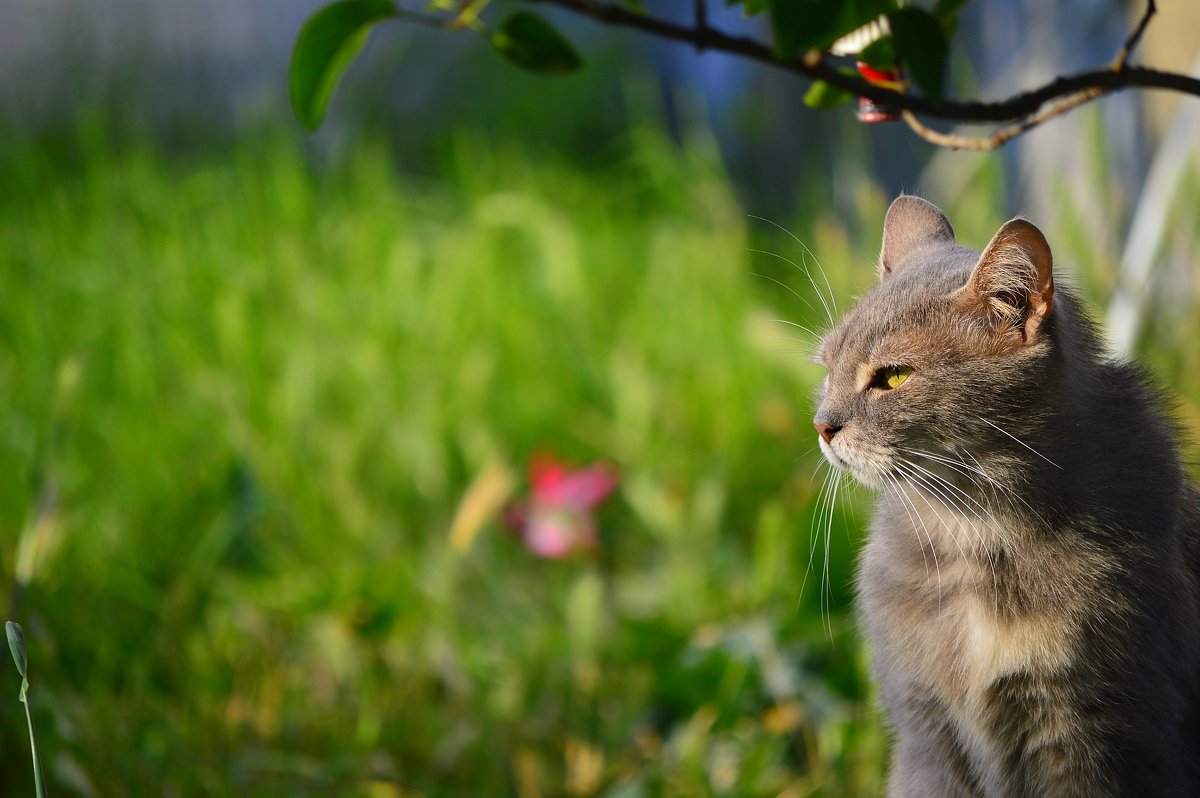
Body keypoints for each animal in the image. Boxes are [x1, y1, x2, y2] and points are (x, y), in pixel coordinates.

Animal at [816, 194, 1200, 796]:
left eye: (894, 377)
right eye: (828, 366)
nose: (822, 426)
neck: (973, 537)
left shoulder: (1101, 735)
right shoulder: (926, 737)